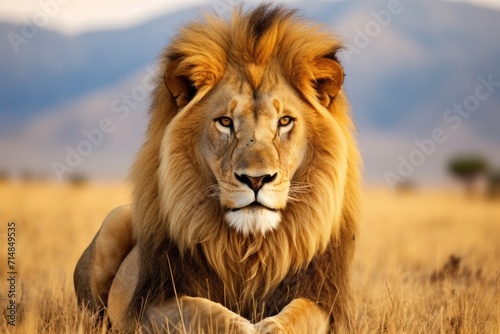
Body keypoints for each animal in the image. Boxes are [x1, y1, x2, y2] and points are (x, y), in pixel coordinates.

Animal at [74, 3, 362, 334]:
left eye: (284, 121)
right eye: (225, 122)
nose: (256, 179)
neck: (249, 247)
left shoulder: (323, 298)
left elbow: (295, 317)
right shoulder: (153, 302)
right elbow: (210, 314)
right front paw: (246, 326)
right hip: (115, 221)